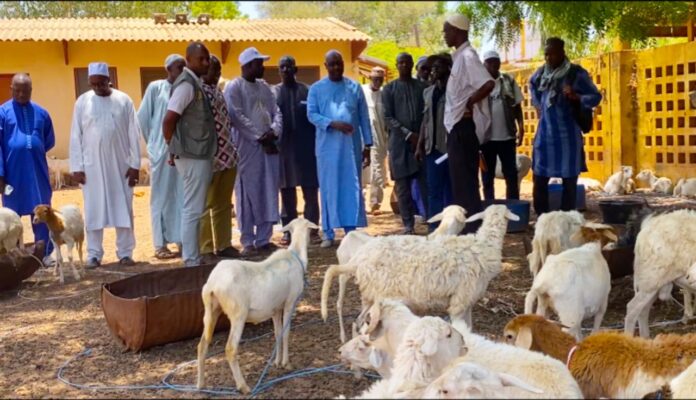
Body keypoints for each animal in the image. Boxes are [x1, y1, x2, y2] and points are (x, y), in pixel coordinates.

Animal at [196, 217, 319, 394]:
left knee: (202, 345)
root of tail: (212, 284)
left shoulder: (276, 309)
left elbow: (277, 333)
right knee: (230, 349)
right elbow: (286, 333)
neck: (295, 255)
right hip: (238, 314)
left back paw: (200, 384)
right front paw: (286, 363)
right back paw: (243, 386)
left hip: (211, 311)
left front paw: (277, 362)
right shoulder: (290, 302)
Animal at [321, 205, 519, 335]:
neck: (484, 245)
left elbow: (469, 328)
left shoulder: (466, 300)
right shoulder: (459, 302)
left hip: (370, 296)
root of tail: (359, 259)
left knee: (358, 322)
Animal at [624, 209, 696, 338]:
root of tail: (648, 224)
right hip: (650, 278)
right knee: (632, 308)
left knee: (643, 310)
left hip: (654, 283)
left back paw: (645, 338)